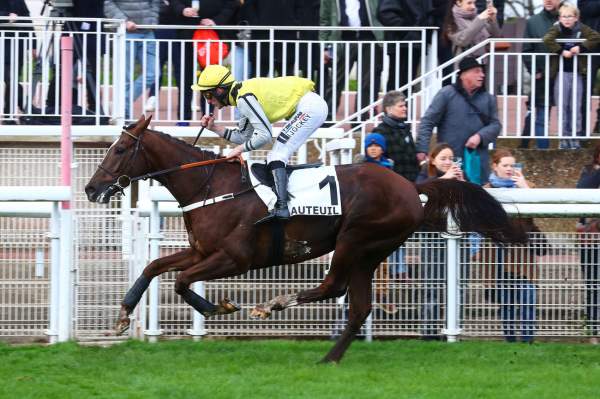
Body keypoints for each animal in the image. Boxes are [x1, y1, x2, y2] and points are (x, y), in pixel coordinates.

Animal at [84, 115, 524, 362]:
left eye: (119, 149)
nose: (91, 189)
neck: (211, 186)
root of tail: (411, 186)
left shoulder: (234, 257)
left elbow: (180, 281)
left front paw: (219, 307)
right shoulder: (201, 250)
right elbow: (155, 266)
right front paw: (123, 315)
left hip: (356, 239)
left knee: (334, 287)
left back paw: (273, 306)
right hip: (371, 252)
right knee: (359, 305)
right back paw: (330, 358)